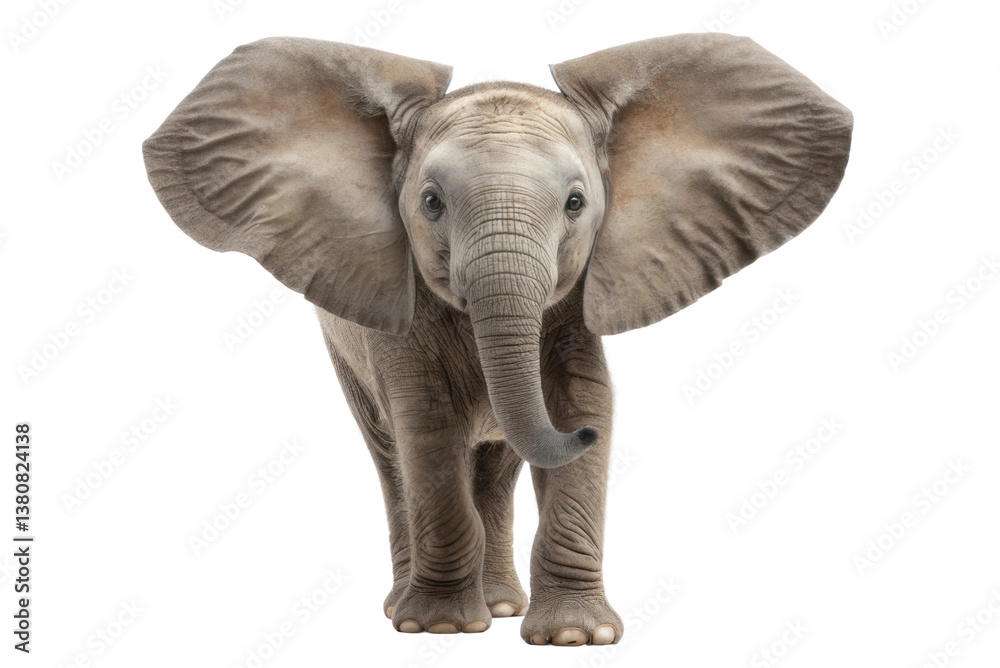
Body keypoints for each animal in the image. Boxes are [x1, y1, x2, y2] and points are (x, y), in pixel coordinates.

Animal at [142, 33, 852, 645]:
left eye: (575, 204)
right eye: (430, 202)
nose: (577, 436)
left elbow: (585, 400)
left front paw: (575, 636)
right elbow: (426, 427)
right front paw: (439, 629)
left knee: (496, 465)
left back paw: (504, 606)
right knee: (391, 457)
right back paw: (408, 607)